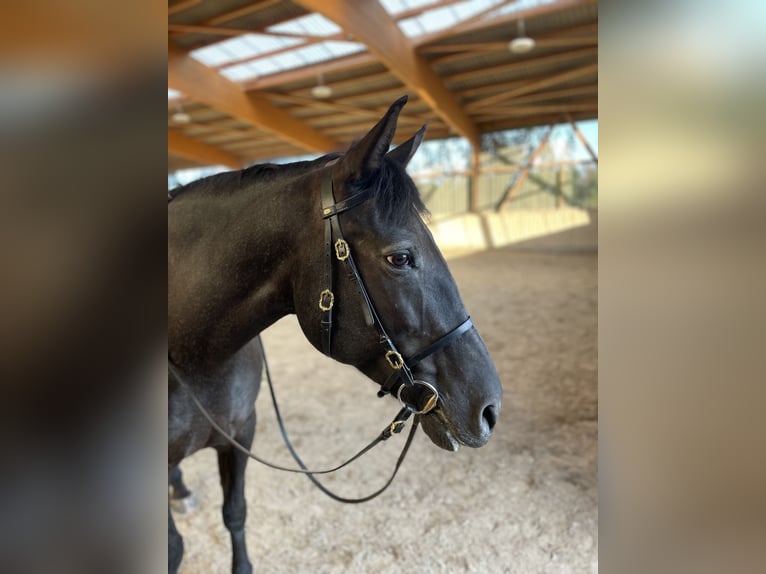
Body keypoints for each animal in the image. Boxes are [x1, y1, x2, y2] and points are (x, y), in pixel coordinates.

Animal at [168, 96, 503, 574]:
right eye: (400, 258)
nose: (489, 409)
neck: (194, 354)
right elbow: (174, 546)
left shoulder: (241, 434)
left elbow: (235, 513)